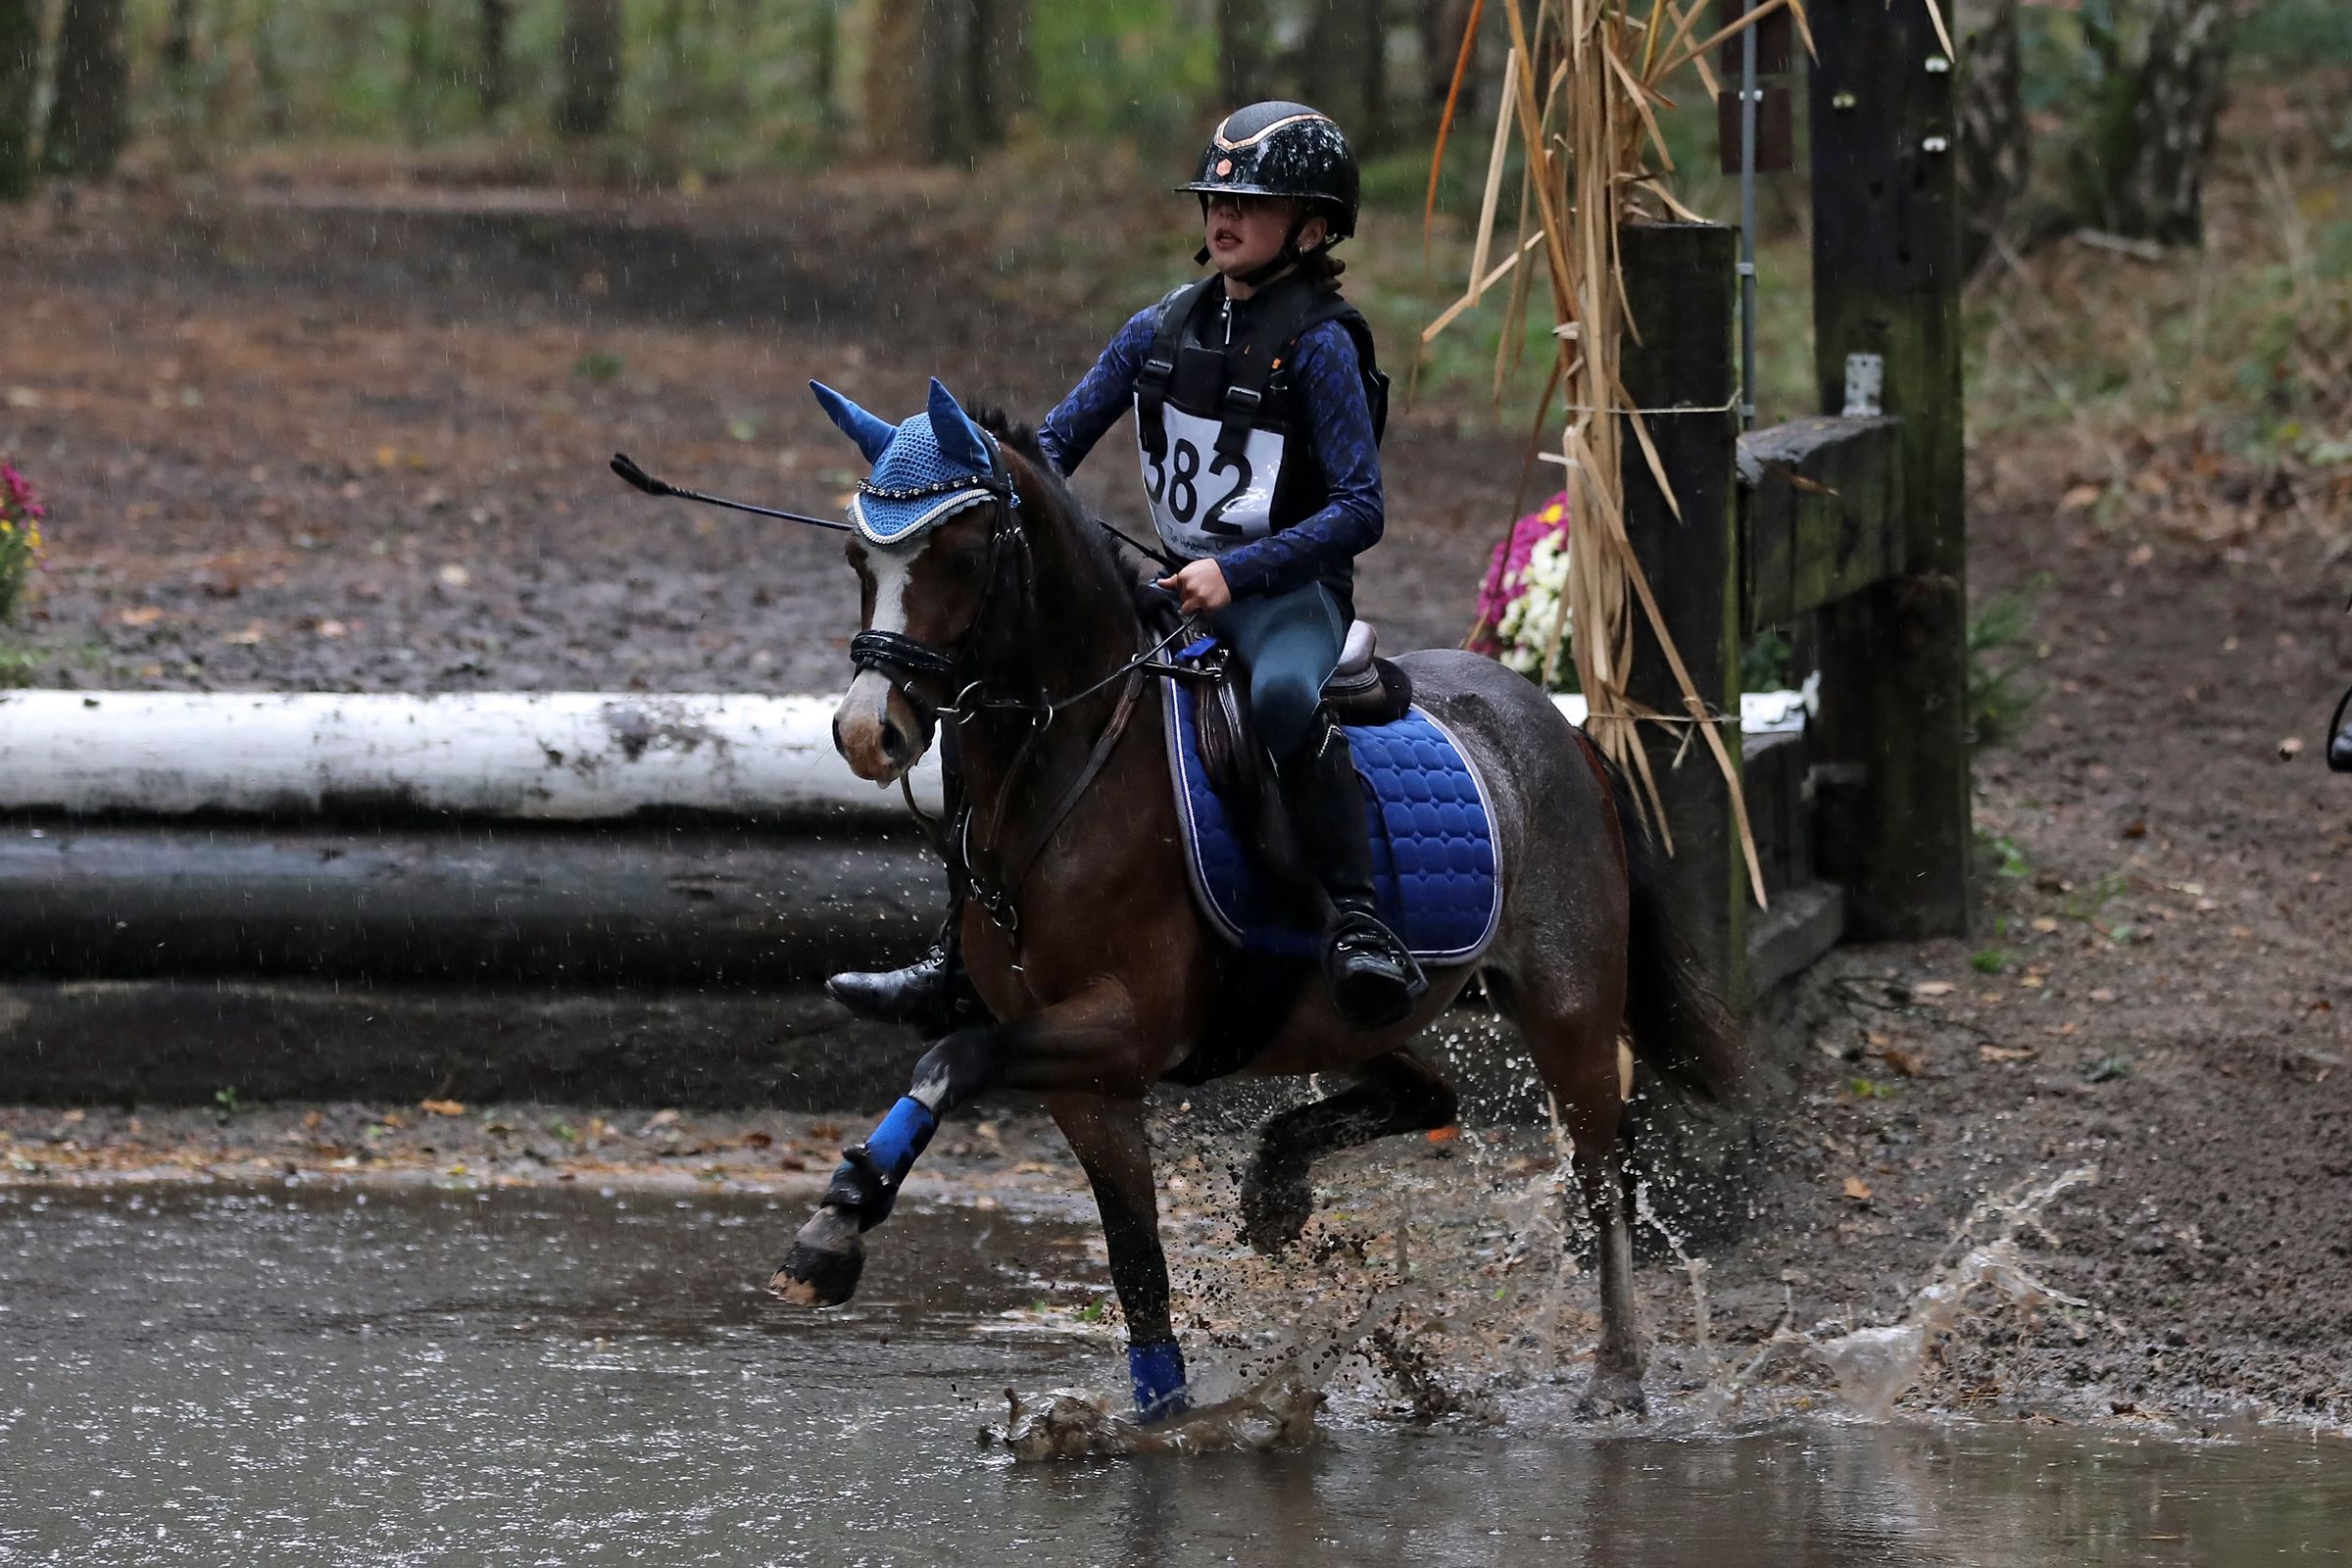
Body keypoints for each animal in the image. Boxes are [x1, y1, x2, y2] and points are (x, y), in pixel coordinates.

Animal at [769, 378, 1739, 1419]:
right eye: (858, 555)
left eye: (960, 553)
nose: (866, 731)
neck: (1072, 773)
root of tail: (1560, 726)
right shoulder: (1089, 1080)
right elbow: (1136, 1263)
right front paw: (1160, 1417)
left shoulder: (1125, 1028)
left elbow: (951, 1059)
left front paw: (834, 1228)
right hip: (1345, 1015)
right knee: (1426, 1092)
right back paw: (1277, 1185)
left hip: (1568, 1004)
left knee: (1604, 1172)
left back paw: (1617, 1373)